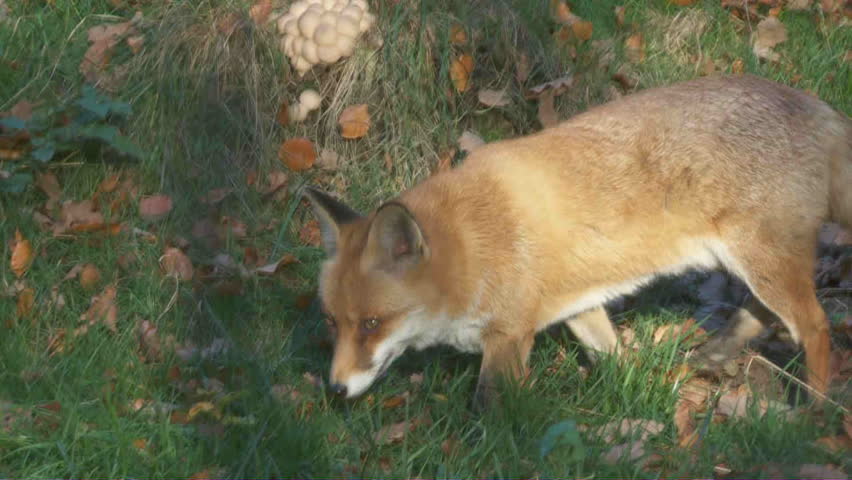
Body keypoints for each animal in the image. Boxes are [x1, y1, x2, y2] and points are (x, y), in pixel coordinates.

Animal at [304, 74, 852, 408]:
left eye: (372, 324)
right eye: (332, 321)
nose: (335, 389)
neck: (470, 244)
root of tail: (818, 106)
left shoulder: (508, 335)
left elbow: (488, 411)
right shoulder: (577, 303)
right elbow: (614, 357)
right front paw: (637, 394)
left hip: (761, 261)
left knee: (816, 326)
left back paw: (813, 412)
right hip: (750, 263)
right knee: (773, 314)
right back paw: (720, 352)